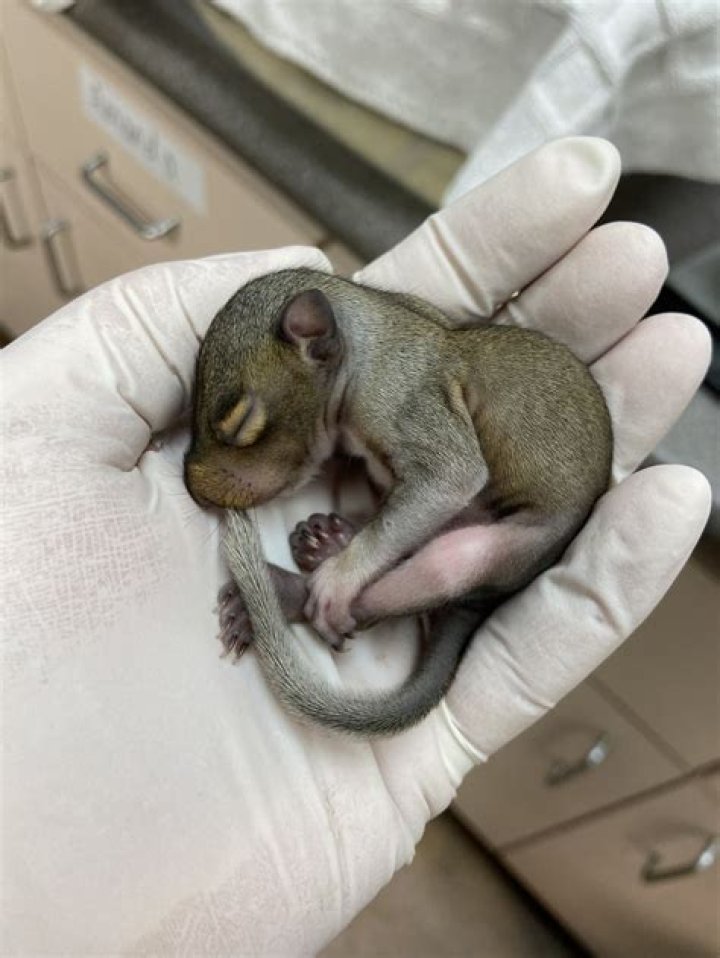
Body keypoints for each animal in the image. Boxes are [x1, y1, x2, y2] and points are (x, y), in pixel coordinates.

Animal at [185, 267, 612, 736]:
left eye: (242, 423)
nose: (191, 486)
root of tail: (485, 601)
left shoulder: (403, 401)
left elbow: (451, 475)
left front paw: (338, 580)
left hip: (499, 552)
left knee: (420, 578)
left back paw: (288, 590)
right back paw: (327, 543)